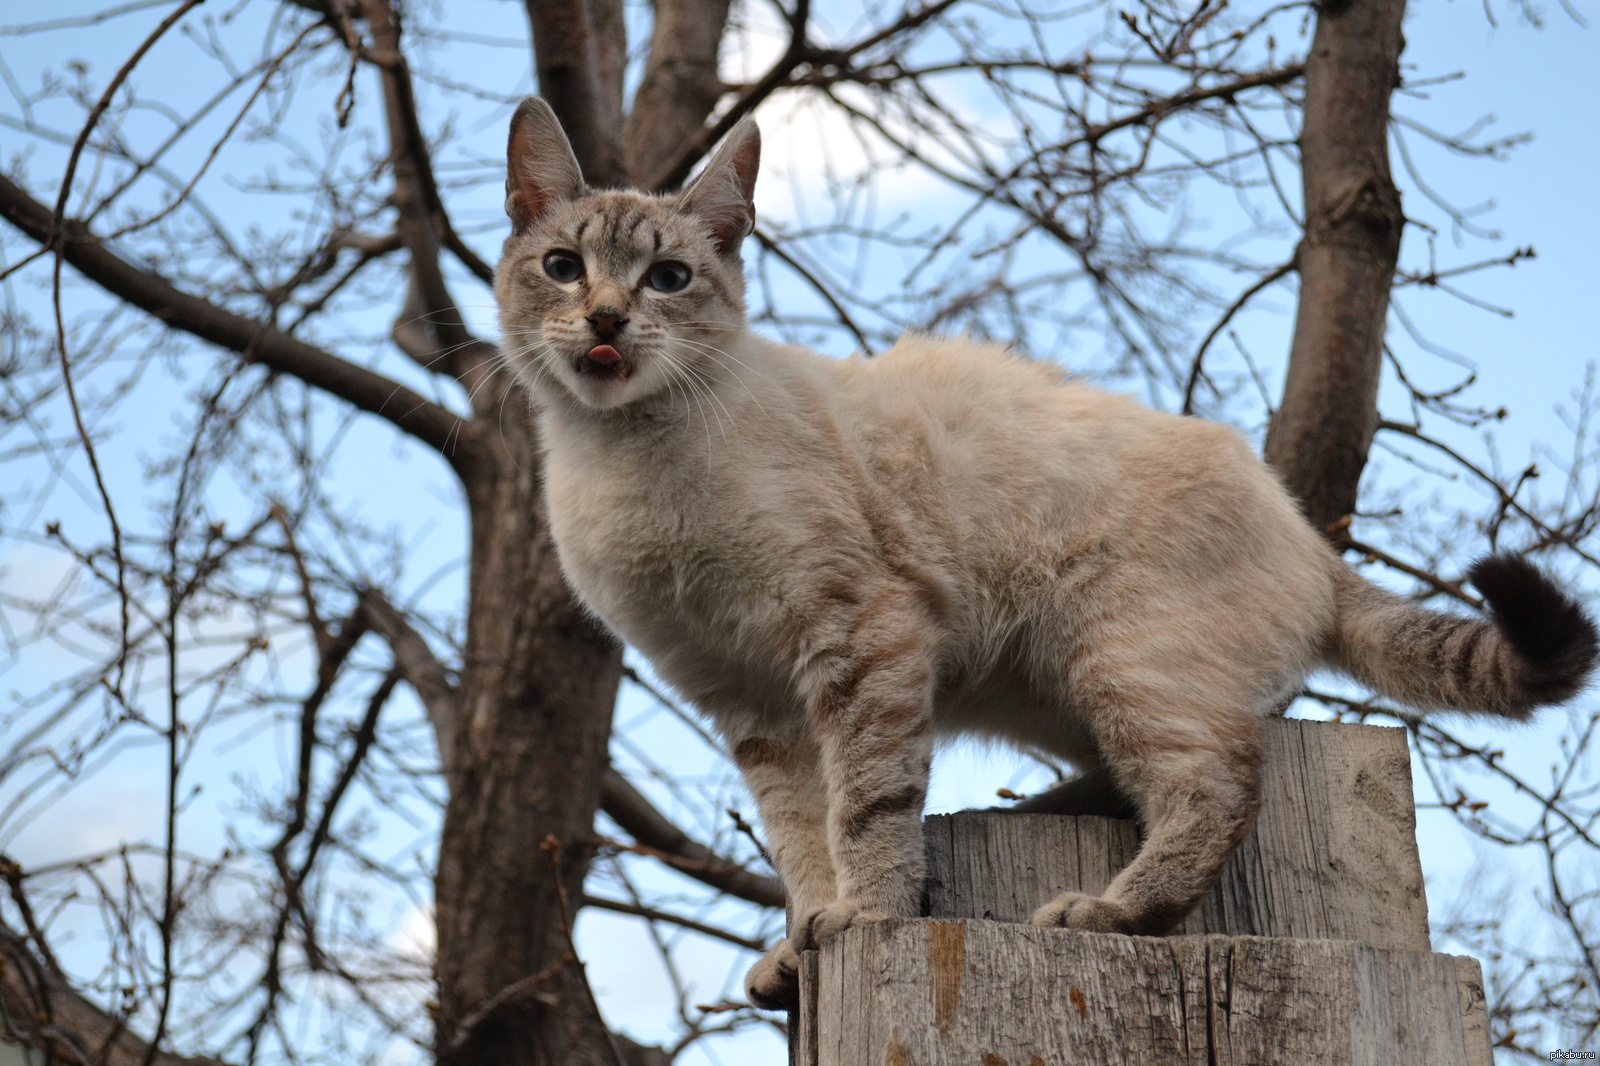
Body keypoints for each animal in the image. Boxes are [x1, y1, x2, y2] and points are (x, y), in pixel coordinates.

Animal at [492, 97, 1593, 1005]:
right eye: (564, 268)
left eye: (669, 278)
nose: (605, 318)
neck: (628, 455)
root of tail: (1299, 528)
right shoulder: (751, 704)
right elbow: (801, 838)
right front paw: (802, 944)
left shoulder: (857, 640)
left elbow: (866, 809)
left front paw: (865, 917)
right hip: (1046, 686)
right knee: (1137, 776)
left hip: (1117, 662)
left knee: (1219, 782)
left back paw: (1110, 912)